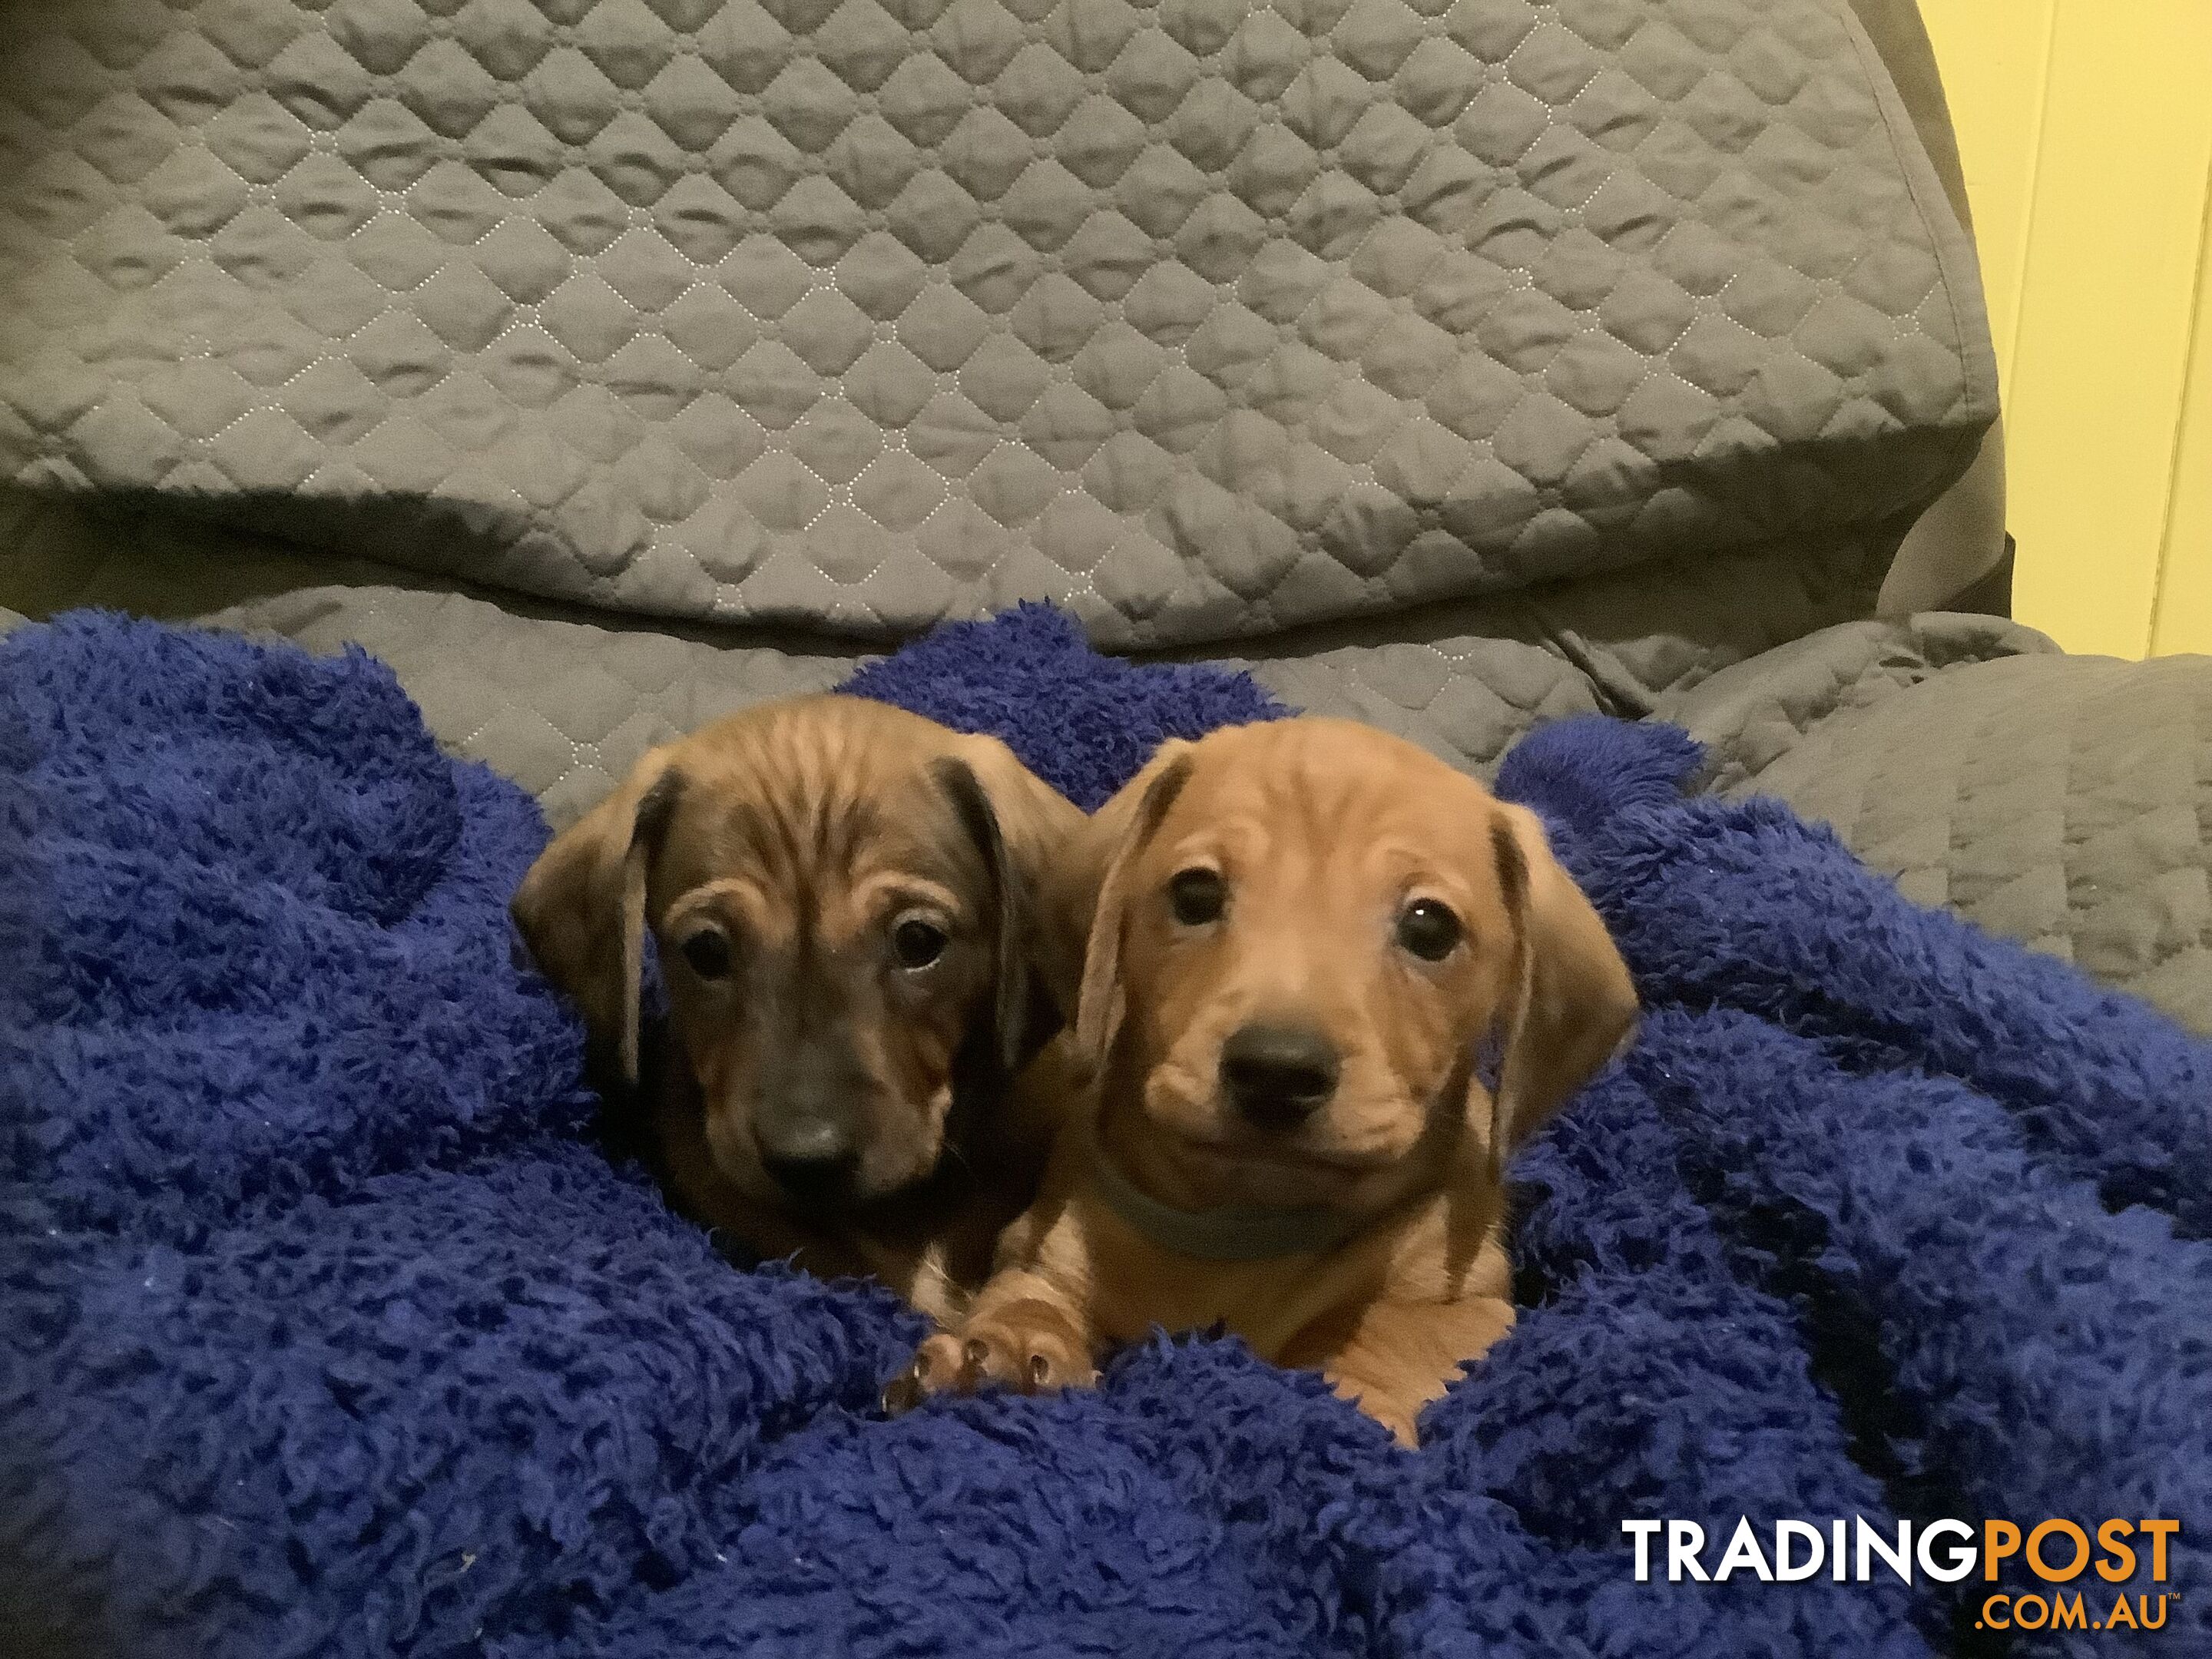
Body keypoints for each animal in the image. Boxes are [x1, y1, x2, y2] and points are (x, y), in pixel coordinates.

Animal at [893, 720, 1645, 1451]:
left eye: (1430, 927)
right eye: (1196, 893)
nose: (1278, 1071)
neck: (1242, 1228)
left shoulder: (1475, 1305)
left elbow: (1396, 1332)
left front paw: (1347, 1404)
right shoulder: (1042, 1248)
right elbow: (1028, 1294)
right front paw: (1007, 1346)